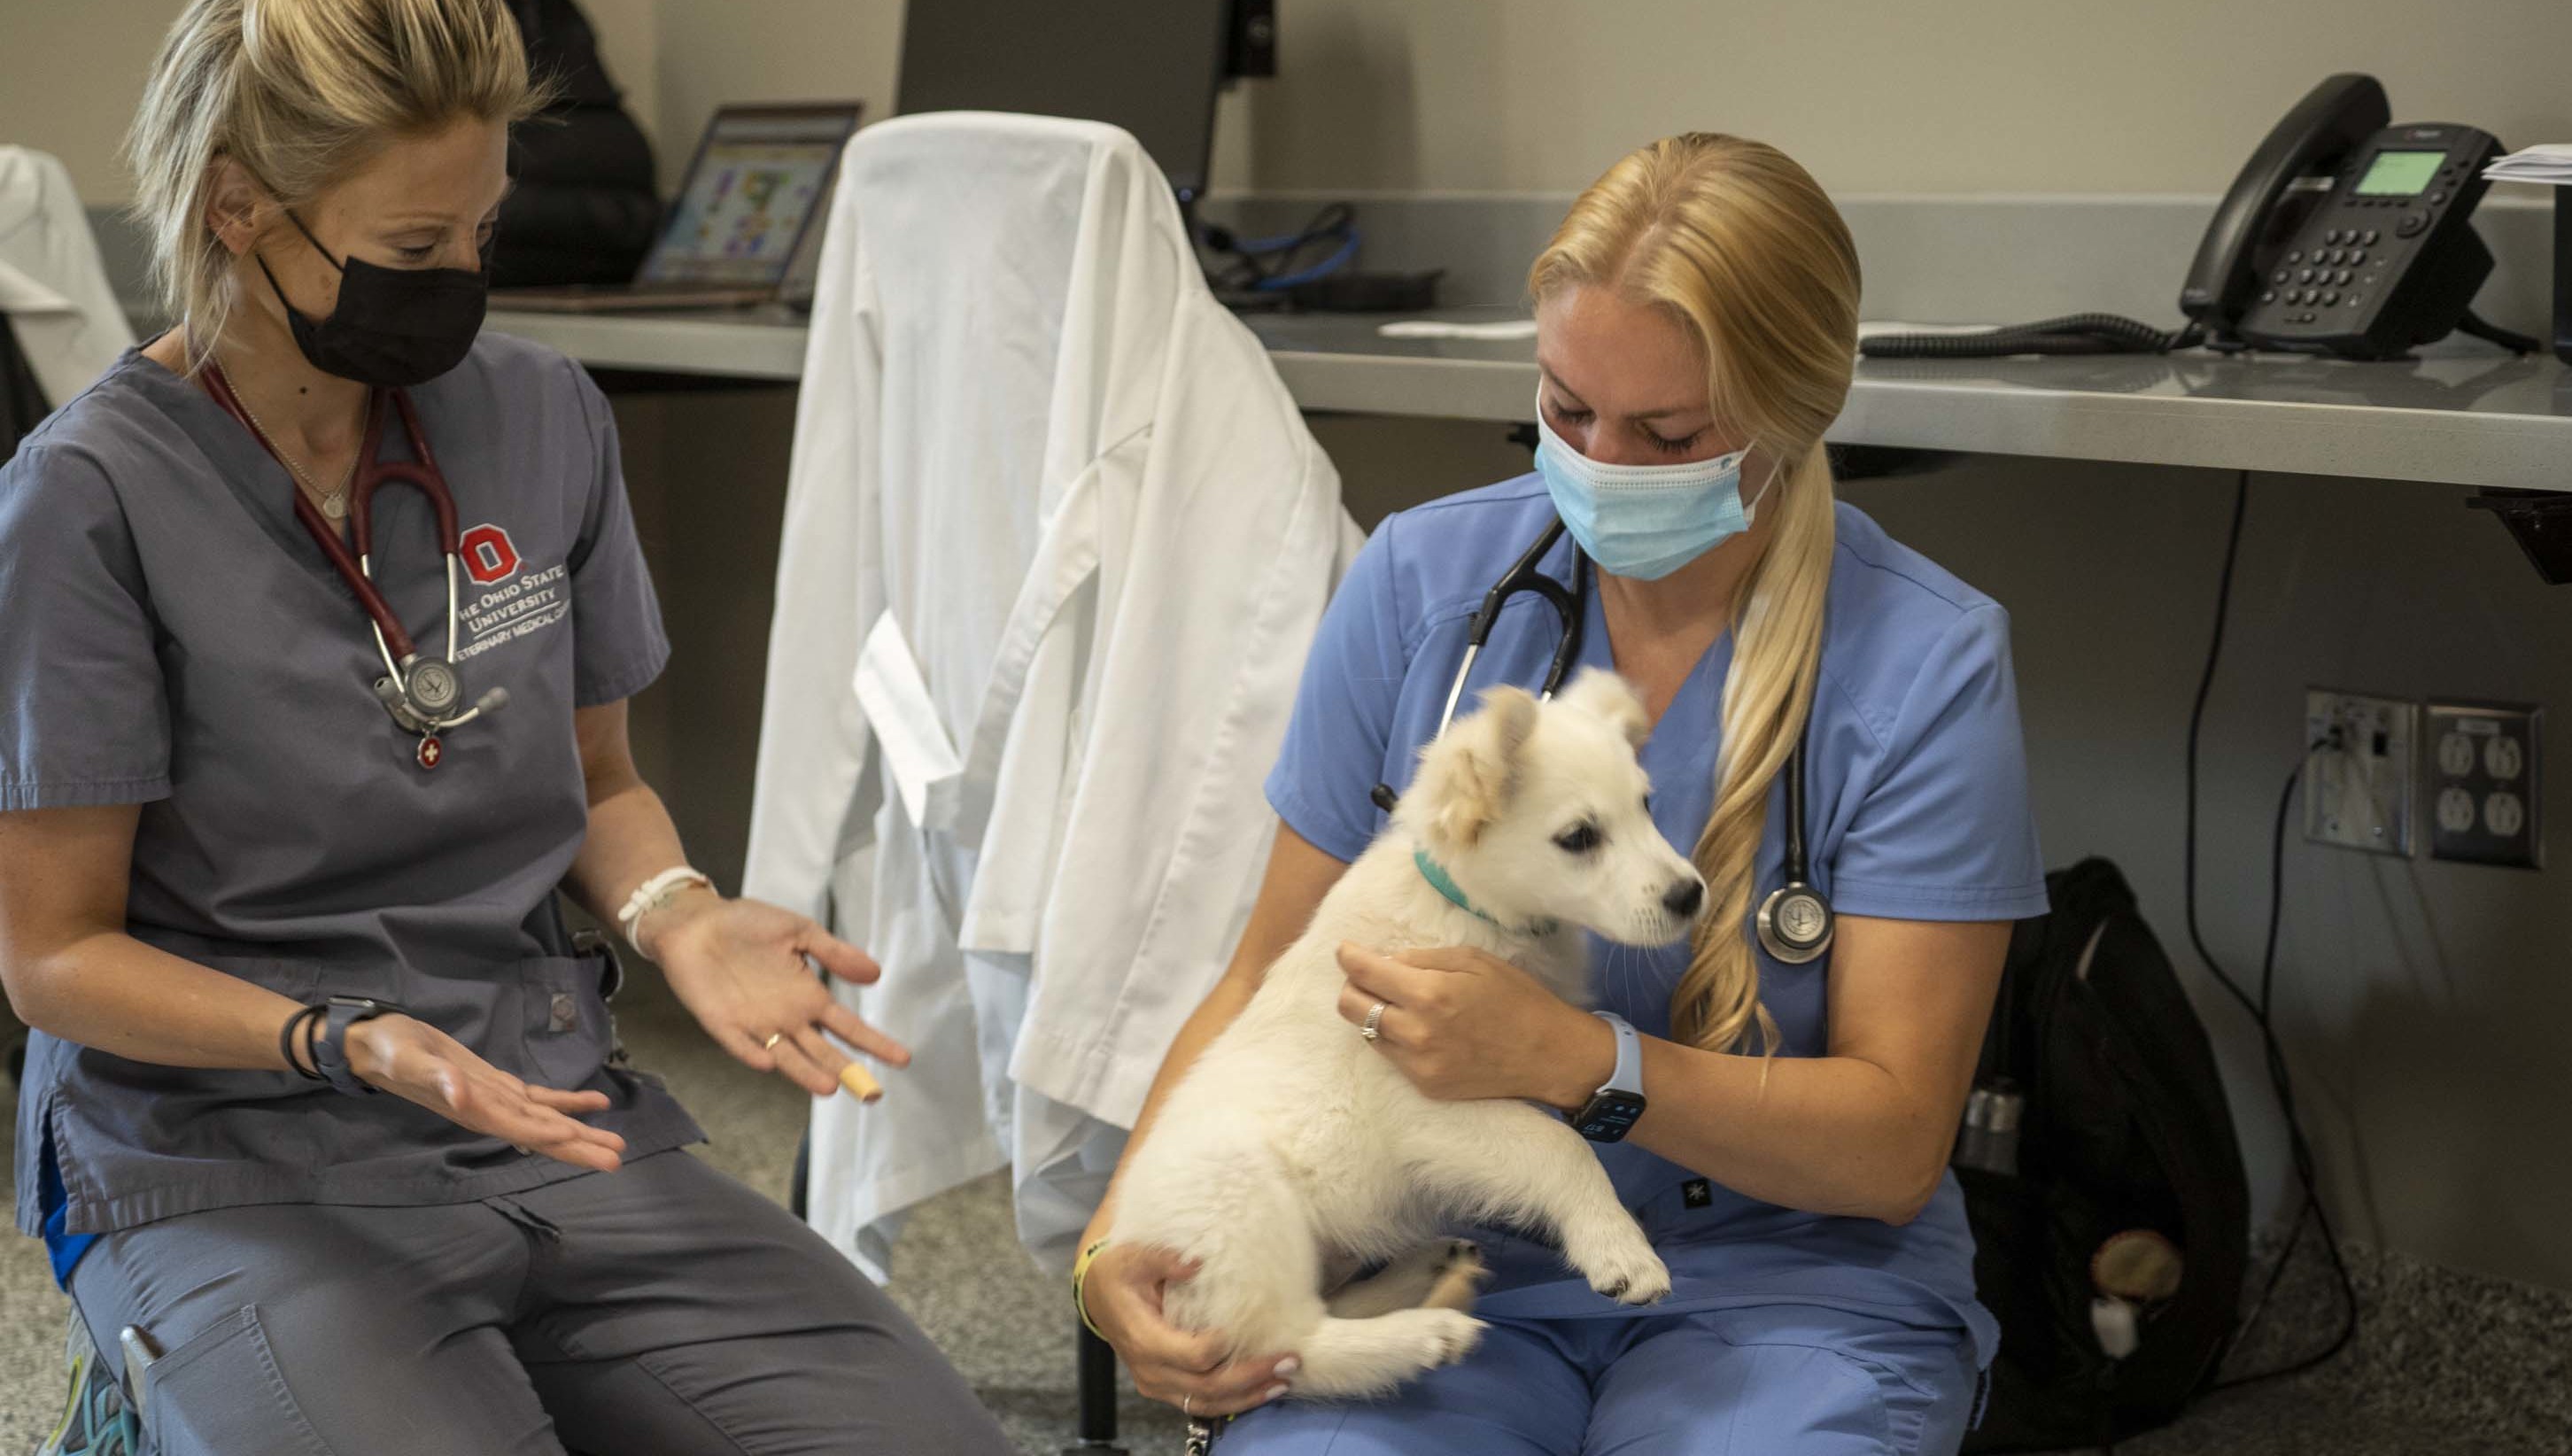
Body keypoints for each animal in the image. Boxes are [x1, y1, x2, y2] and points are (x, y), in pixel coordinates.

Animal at [1111, 669, 1697, 1399]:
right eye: (1581, 836)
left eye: (1646, 805)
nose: (1690, 896)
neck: (1465, 909)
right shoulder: (1425, 1107)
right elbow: (1560, 1148)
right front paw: (1618, 1246)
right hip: (1241, 1198)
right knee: (1288, 1346)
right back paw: (1424, 1337)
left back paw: (1422, 1276)